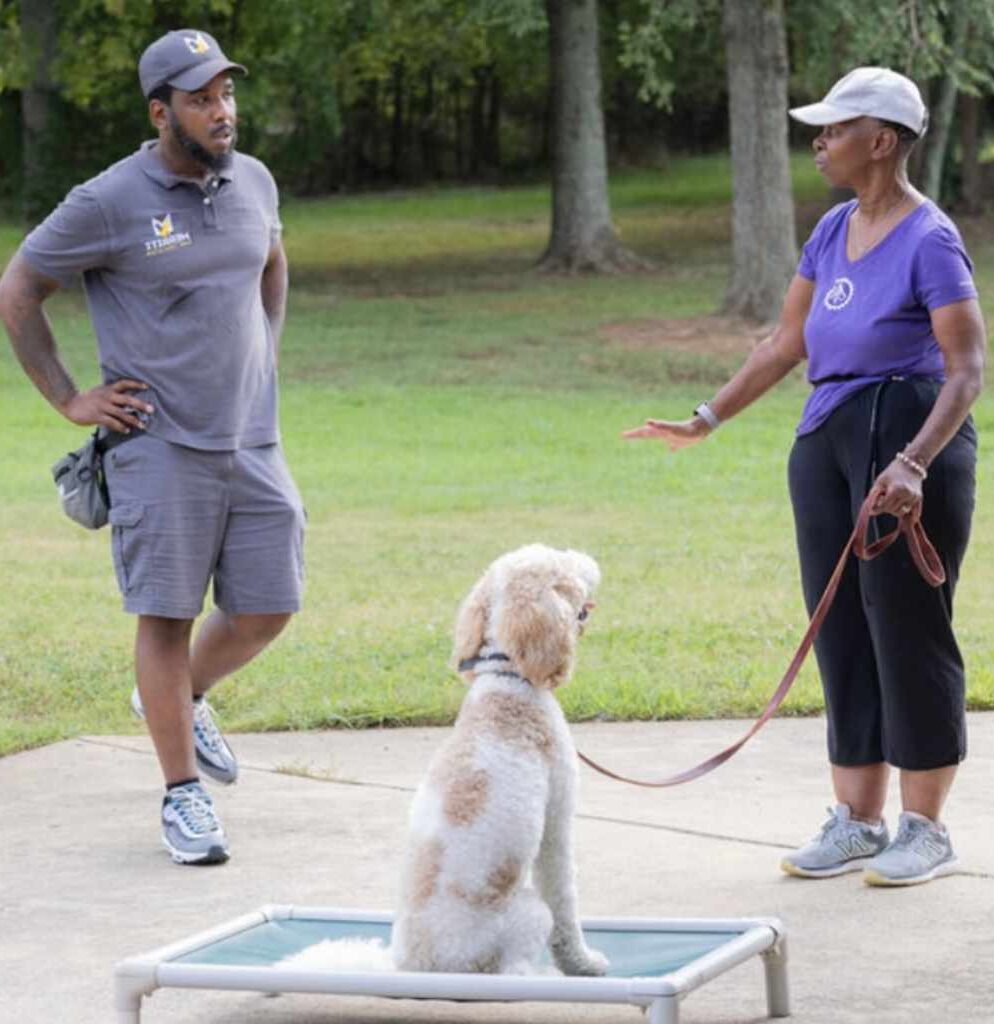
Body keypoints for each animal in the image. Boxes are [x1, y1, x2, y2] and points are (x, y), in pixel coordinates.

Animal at [389, 544, 606, 974]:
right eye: (561, 563)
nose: (588, 557)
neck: (508, 680)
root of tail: (423, 966)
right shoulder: (557, 819)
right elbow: (565, 900)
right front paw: (583, 963)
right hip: (528, 914)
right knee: (518, 963)